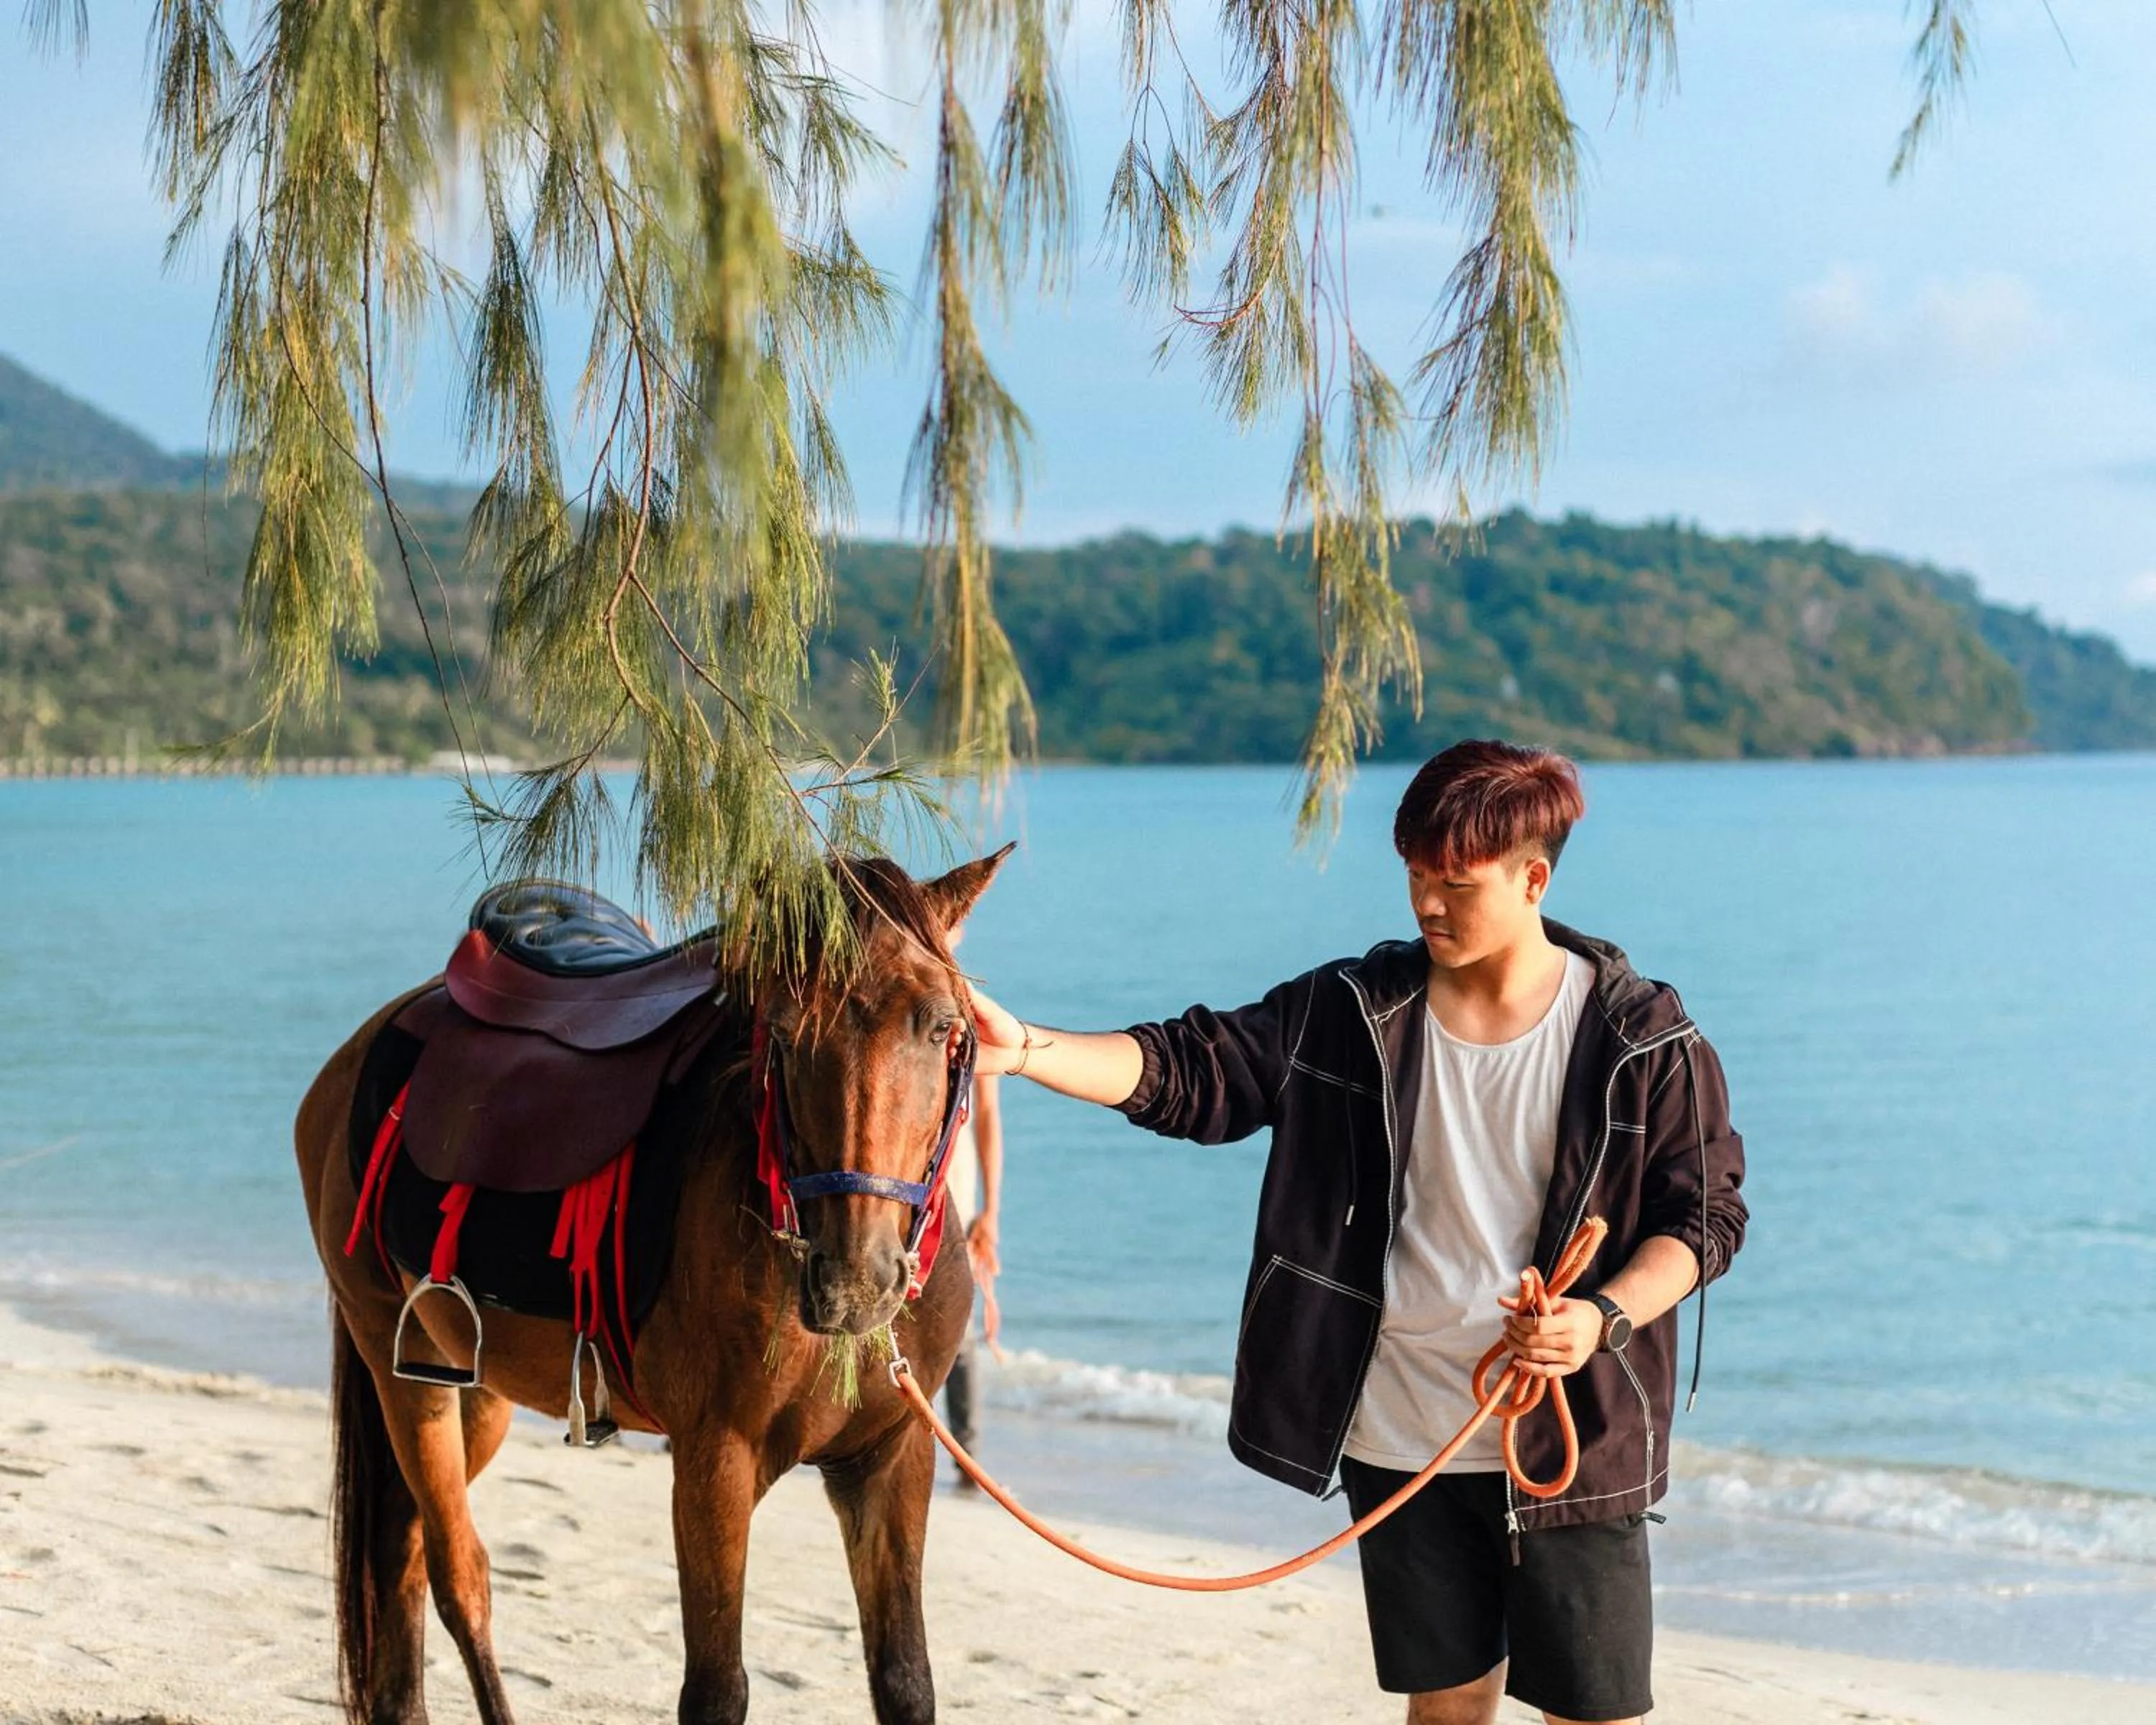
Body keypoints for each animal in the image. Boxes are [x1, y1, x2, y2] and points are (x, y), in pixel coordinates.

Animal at [293, 848, 1011, 1725]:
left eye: (942, 1026)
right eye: (781, 1031)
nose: (853, 1279)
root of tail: (364, 1047)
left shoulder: (891, 1458)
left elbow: (906, 1681)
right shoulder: (714, 1461)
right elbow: (717, 1689)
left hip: (477, 1392)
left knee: (402, 1551)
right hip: (404, 1375)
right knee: (457, 1572)